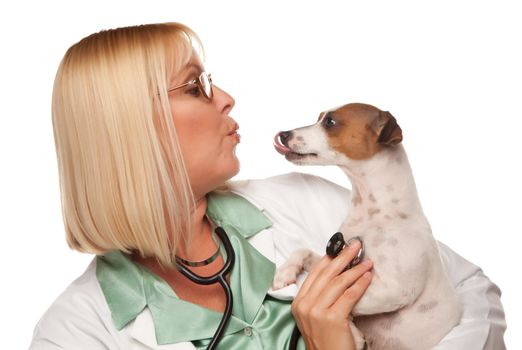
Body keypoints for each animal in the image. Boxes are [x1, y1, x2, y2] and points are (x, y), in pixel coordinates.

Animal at [270, 103, 462, 350]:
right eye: (319, 117)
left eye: (330, 122)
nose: (284, 134)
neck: (375, 212)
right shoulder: (335, 262)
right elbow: (302, 251)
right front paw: (284, 273)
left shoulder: (394, 290)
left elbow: (348, 304)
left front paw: (352, 331)